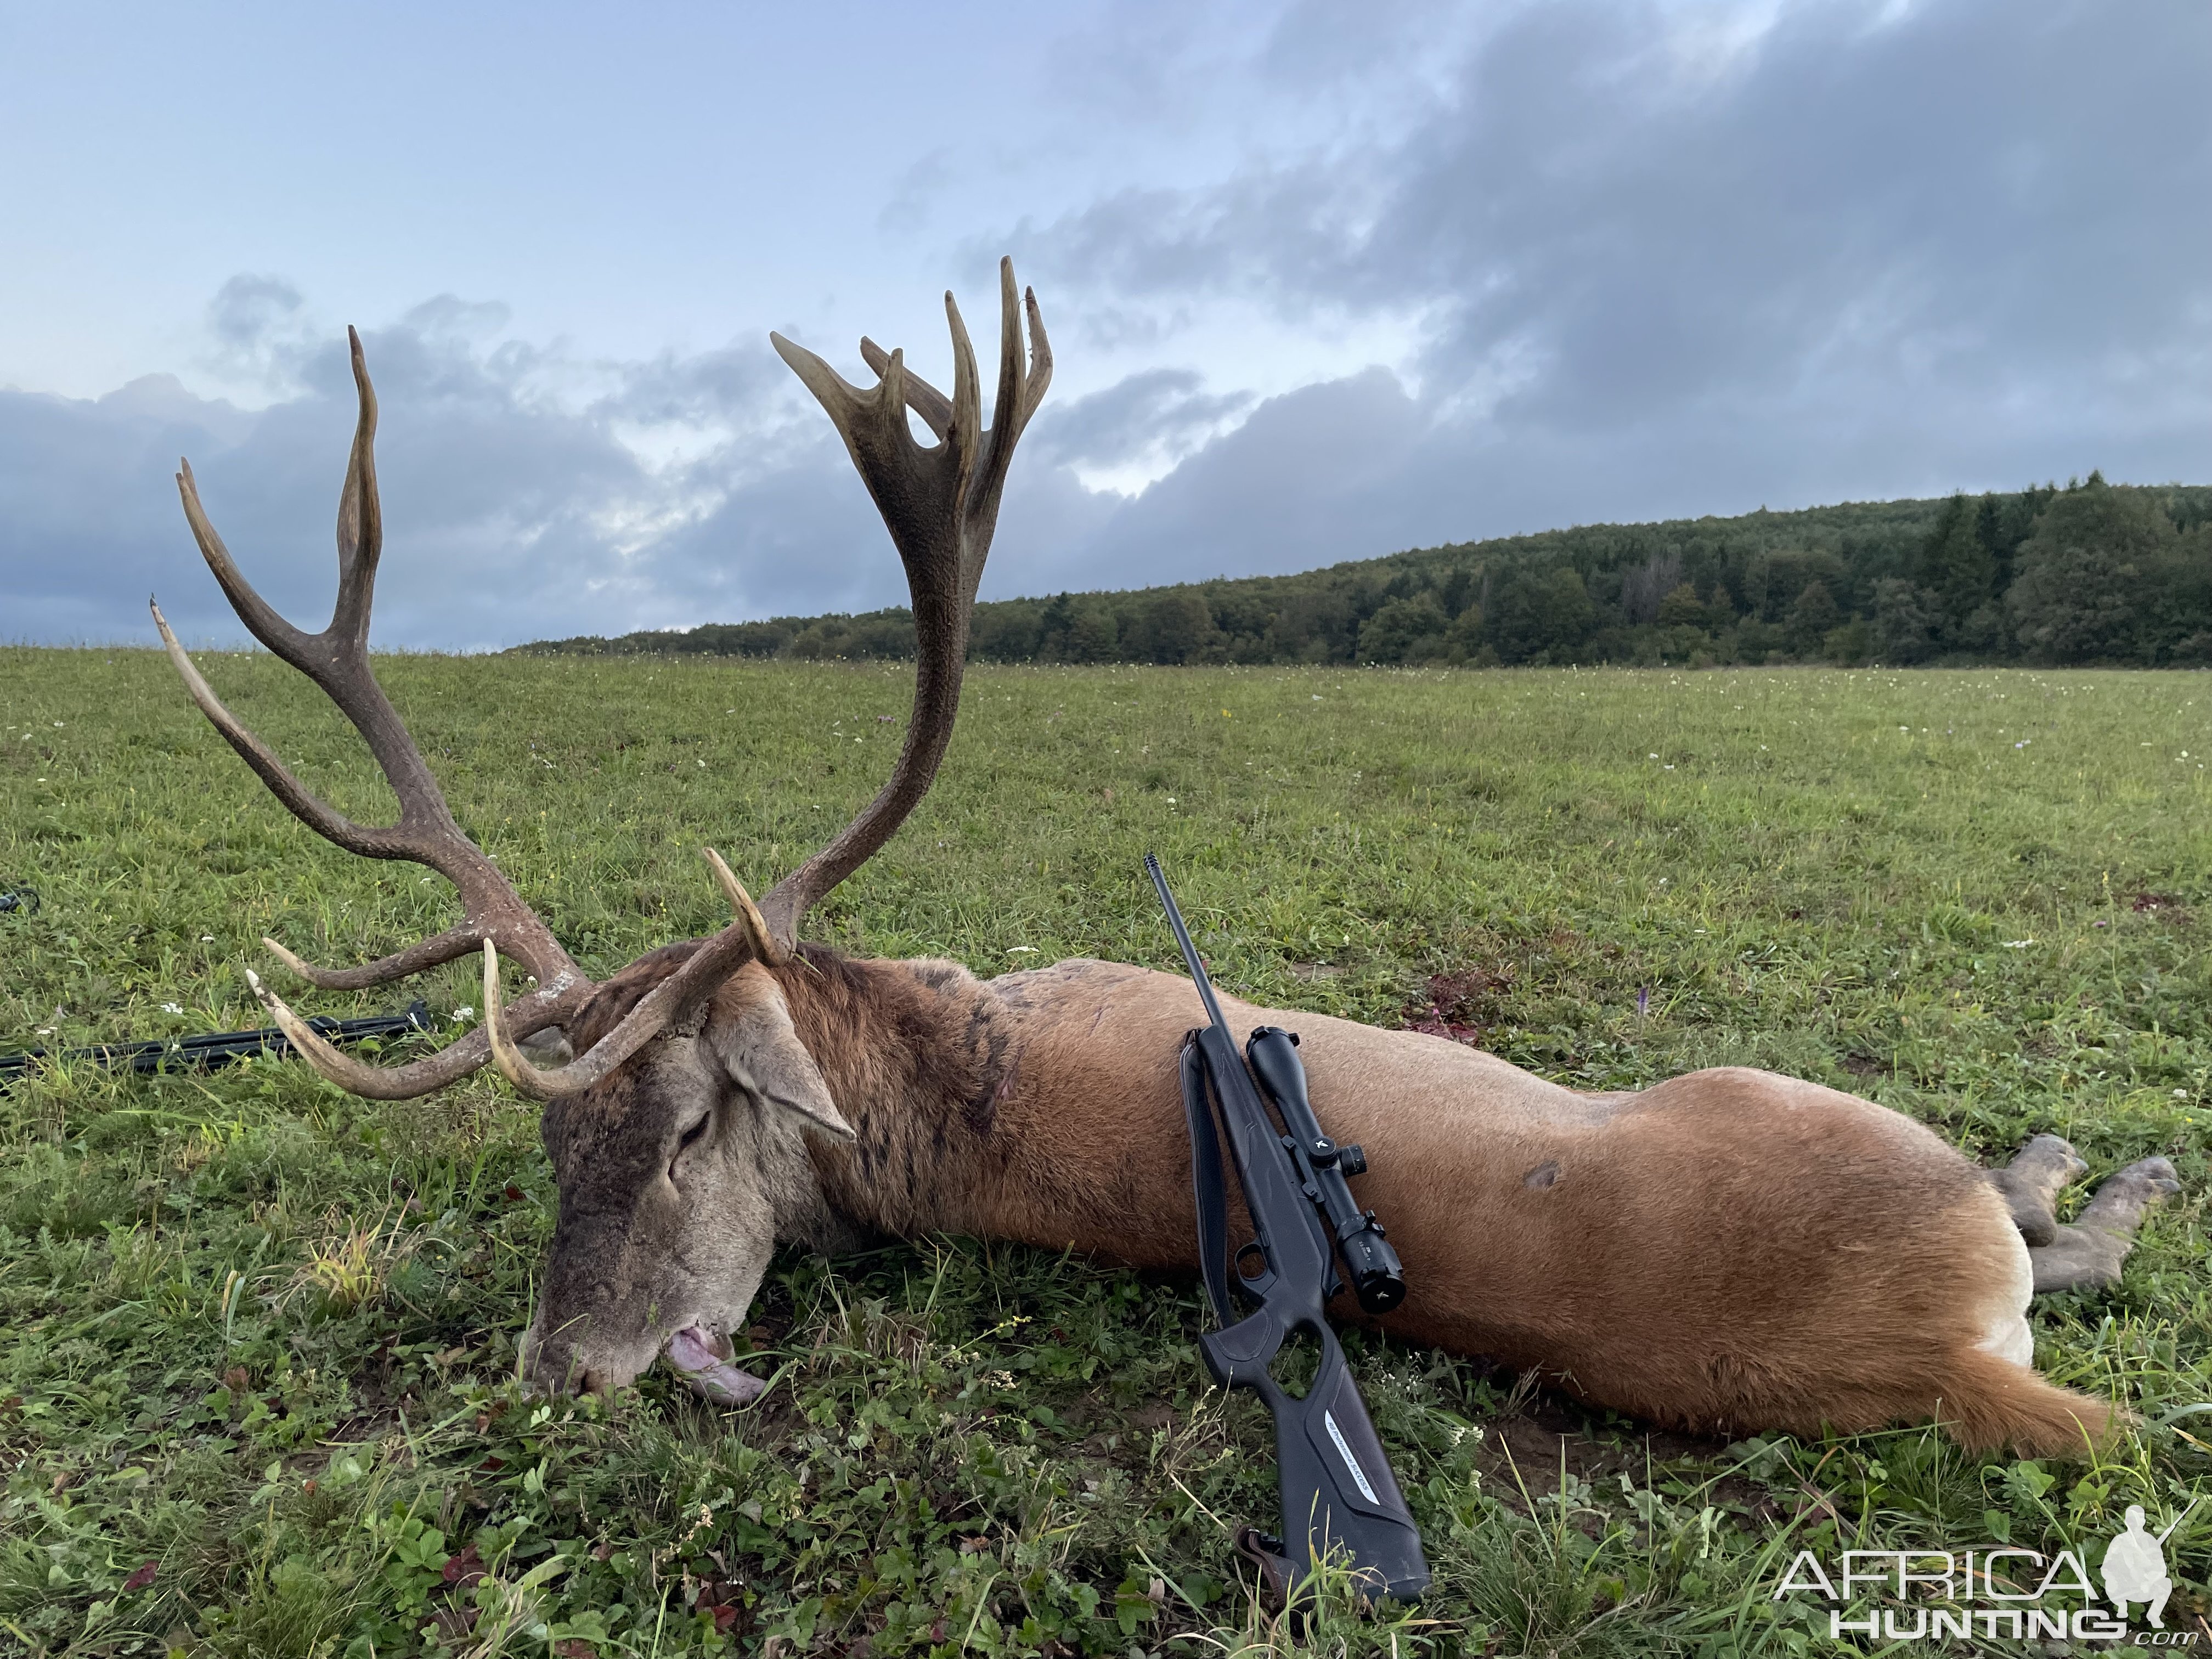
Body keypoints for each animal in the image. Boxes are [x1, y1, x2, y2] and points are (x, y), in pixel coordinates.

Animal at [151, 259, 2176, 1451]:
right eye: (552, 1150)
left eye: (666, 1134)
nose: (566, 1371)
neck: (935, 1069)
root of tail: (1943, 1361)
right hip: (1821, 1115)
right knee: (2045, 1244)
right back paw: (2096, 1162)